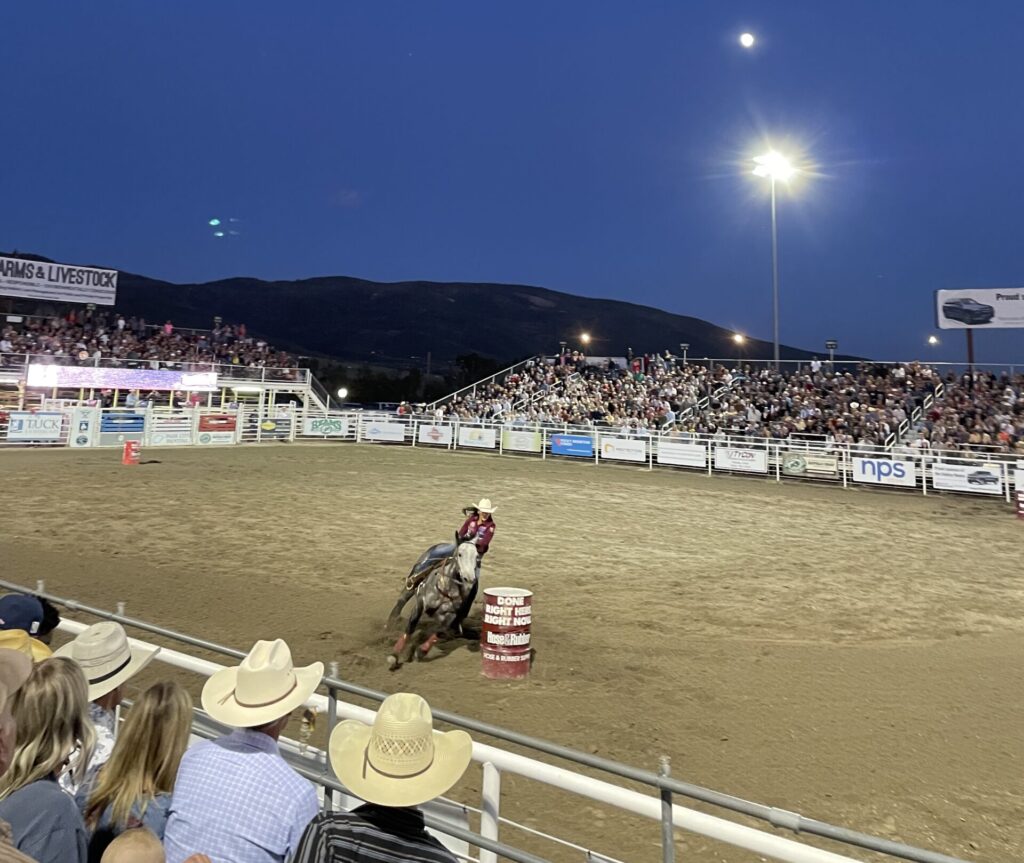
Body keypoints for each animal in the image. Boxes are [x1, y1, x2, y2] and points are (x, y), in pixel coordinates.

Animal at [387, 536, 479, 671]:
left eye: (477, 556)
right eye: (460, 554)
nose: (470, 578)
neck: (446, 588)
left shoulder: (452, 615)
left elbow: (440, 631)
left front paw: (421, 651)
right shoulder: (421, 602)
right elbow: (411, 626)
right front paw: (395, 654)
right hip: (414, 579)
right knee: (401, 601)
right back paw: (391, 624)